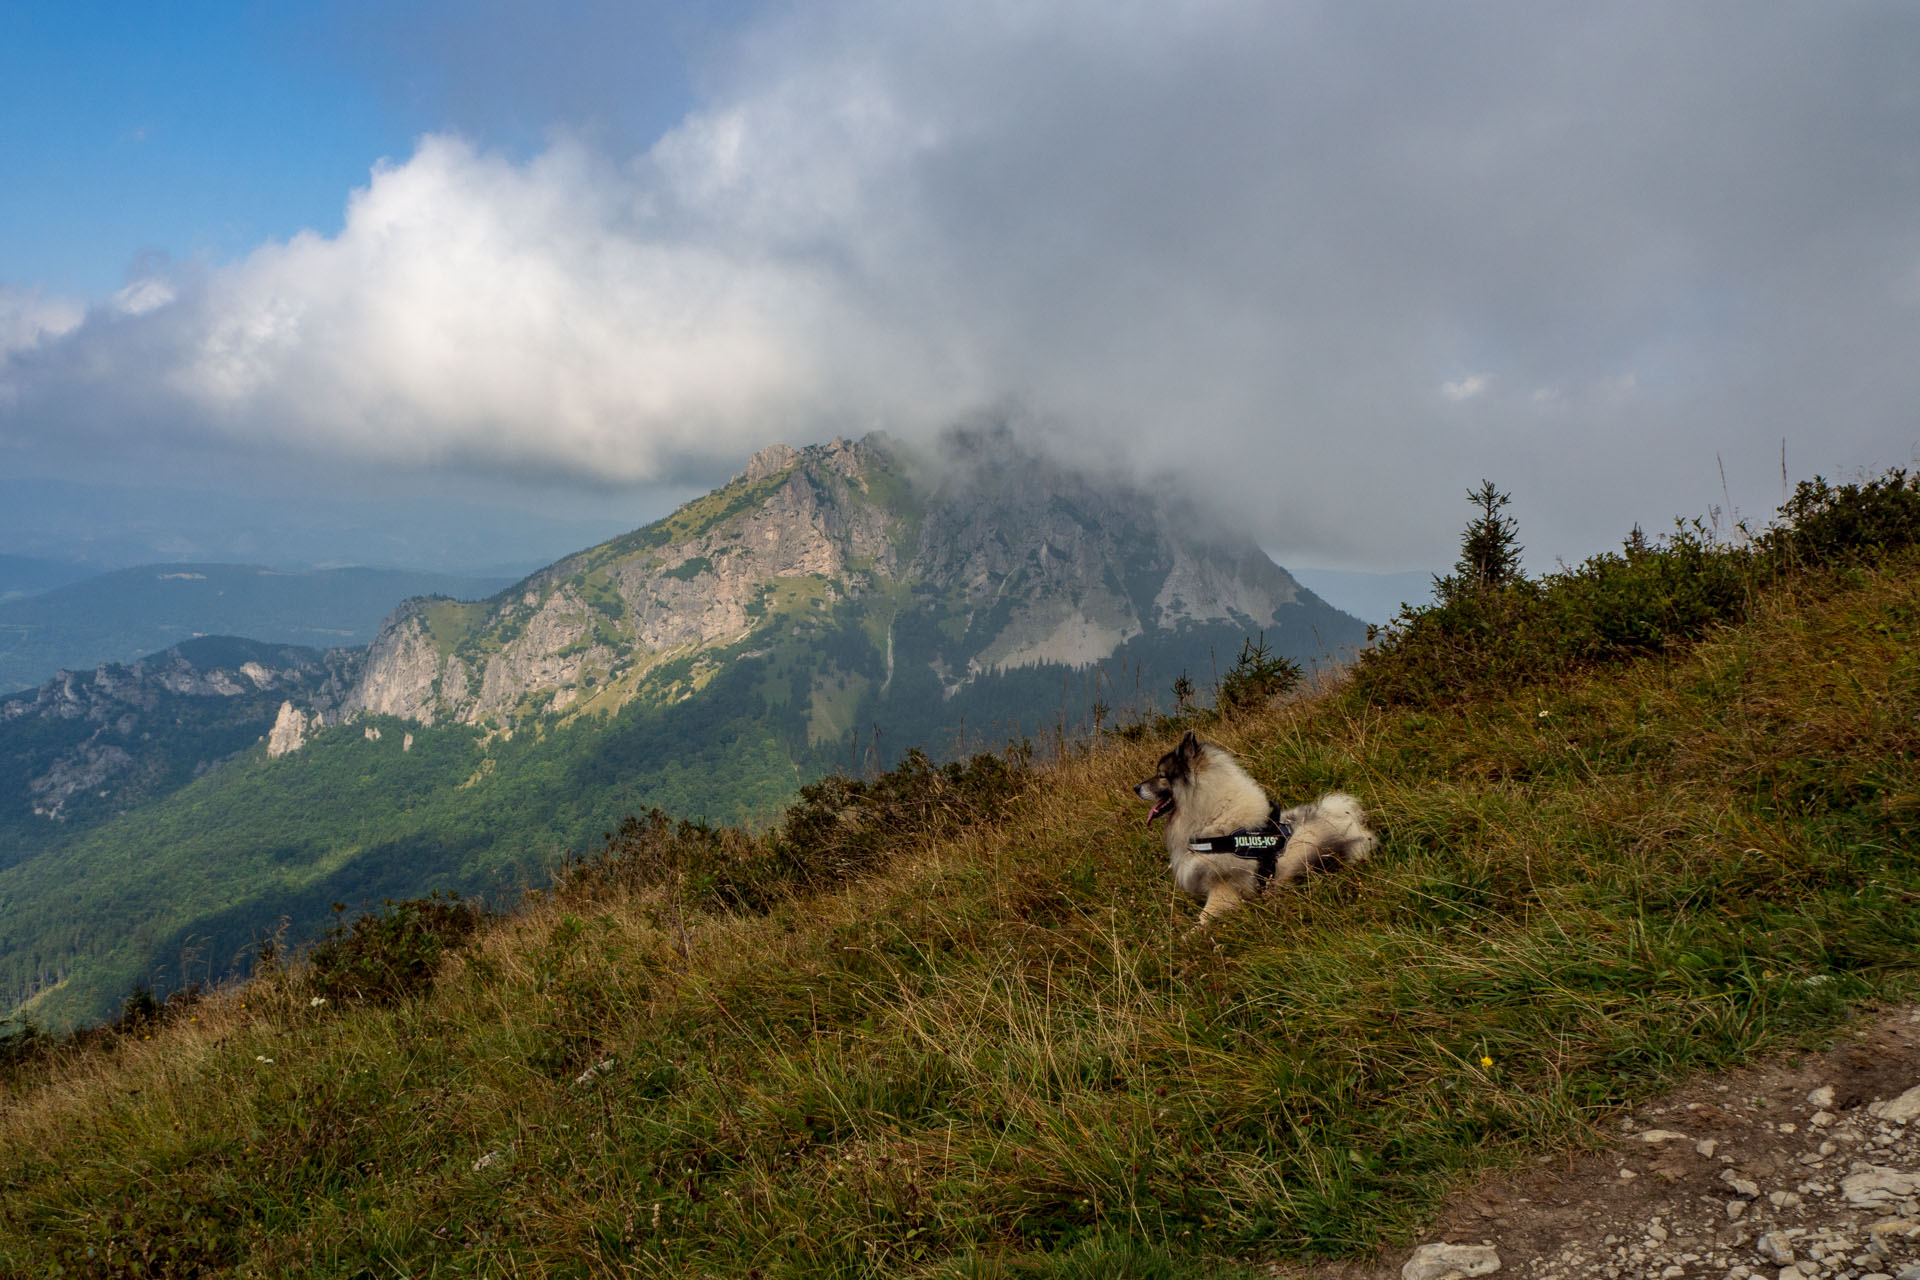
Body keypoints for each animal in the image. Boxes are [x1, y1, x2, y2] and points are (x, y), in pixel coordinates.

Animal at [1128, 736, 1374, 924]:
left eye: (1161, 775)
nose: (1135, 788)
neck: (1215, 819)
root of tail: (1349, 820)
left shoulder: (1224, 889)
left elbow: (1203, 919)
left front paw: (1188, 938)